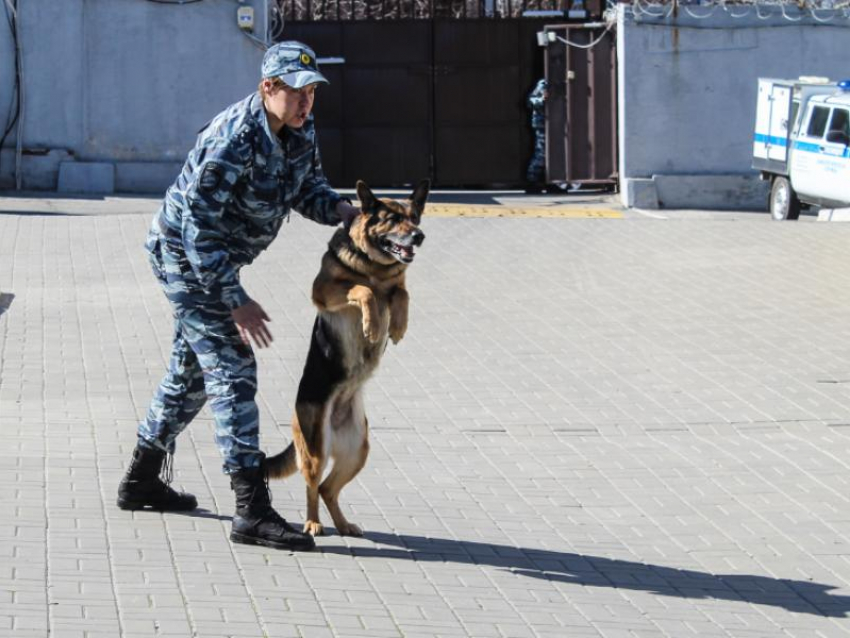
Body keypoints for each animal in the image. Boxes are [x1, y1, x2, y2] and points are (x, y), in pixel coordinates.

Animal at [264, 181, 428, 540]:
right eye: (393, 219)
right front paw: (373, 325)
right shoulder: (324, 290)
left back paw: (343, 525)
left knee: (328, 489)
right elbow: (363, 290)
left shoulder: (396, 286)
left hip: (357, 451)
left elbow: (401, 293)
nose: (419, 236)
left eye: (414, 217)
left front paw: (397, 325)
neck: (375, 266)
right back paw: (313, 523)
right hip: (316, 448)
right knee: (312, 486)